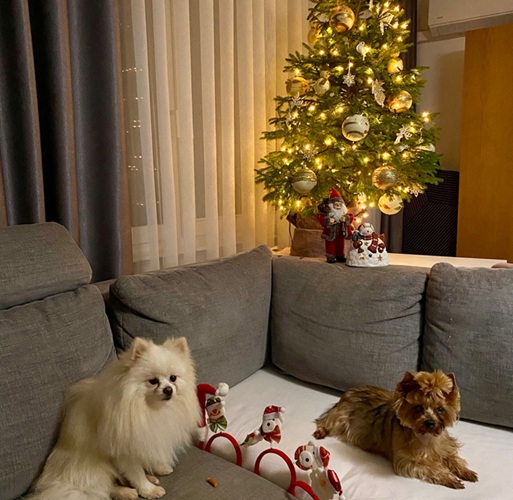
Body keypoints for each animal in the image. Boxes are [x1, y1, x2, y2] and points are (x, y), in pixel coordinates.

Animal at [29, 337, 201, 499]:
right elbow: (136, 473)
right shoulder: (125, 452)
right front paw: (148, 490)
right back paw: (126, 492)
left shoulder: (149, 437)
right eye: (153, 381)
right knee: (102, 487)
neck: (149, 409)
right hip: (93, 467)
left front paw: (159, 467)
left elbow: (151, 454)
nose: (168, 389)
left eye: (173, 378)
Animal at [313, 370, 478, 489]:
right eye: (418, 408)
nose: (430, 423)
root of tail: (349, 391)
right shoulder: (406, 462)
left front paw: (466, 472)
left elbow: (453, 457)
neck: (426, 437)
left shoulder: (444, 445)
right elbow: (430, 468)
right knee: (326, 421)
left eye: (440, 409)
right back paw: (320, 431)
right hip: (341, 415)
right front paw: (449, 477)